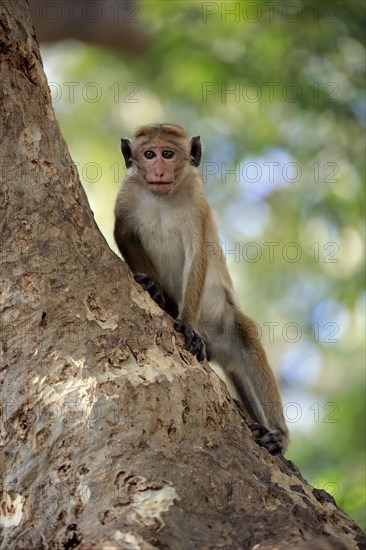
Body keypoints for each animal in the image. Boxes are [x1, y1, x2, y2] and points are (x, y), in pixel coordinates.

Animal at [114, 124, 288, 458]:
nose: (159, 170)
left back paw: (279, 434)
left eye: (168, 154)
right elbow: (124, 234)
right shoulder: (127, 194)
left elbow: (198, 257)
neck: (162, 198)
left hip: (225, 325)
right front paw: (155, 289)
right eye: (149, 153)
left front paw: (188, 325)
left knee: (247, 336)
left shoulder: (196, 201)